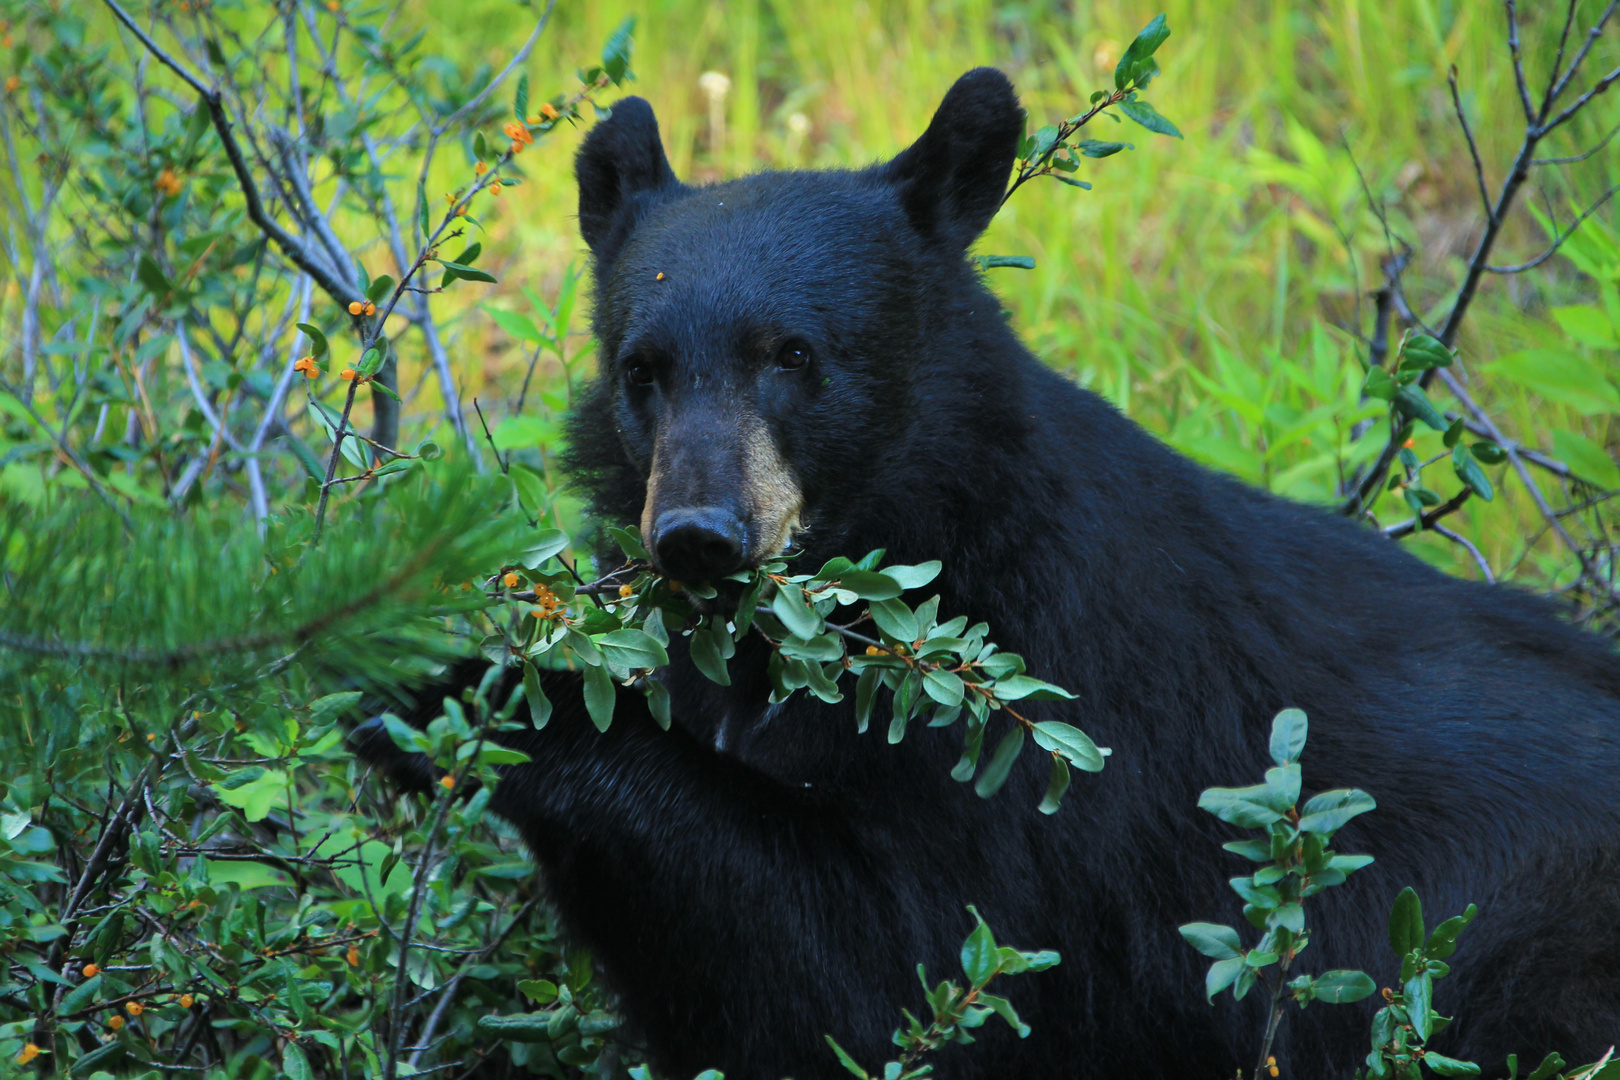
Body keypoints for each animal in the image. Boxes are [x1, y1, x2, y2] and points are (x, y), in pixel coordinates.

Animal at [361, 71, 1620, 1075]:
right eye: (643, 369)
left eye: (795, 355)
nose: (700, 535)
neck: (926, 520)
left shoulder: (1039, 712)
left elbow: (893, 970)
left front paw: (454, 698)